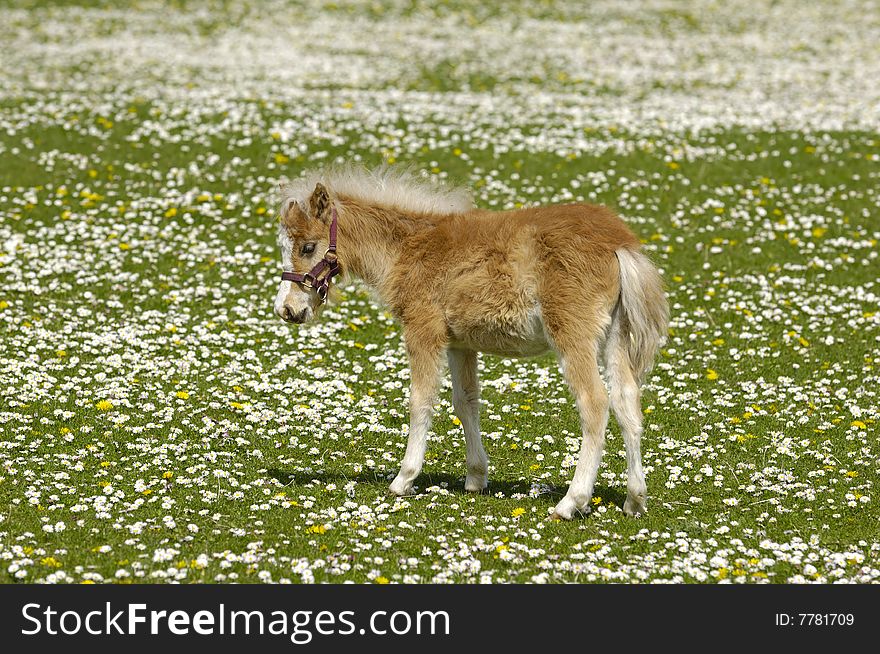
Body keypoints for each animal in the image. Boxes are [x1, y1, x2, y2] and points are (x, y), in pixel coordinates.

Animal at [276, 167, 668, 520]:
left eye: (308, 247)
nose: (286, 309)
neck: (408, 247)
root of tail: (620, 242)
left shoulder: (423, 330)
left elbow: (421, 401)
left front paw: (403, 479)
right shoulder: (459, 343)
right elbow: (465, 402)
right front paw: (476, 477)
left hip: (573, 334)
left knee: (595, 403)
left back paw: (572, 502)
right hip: (616, 334)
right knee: (626, 401)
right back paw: (635, 500)